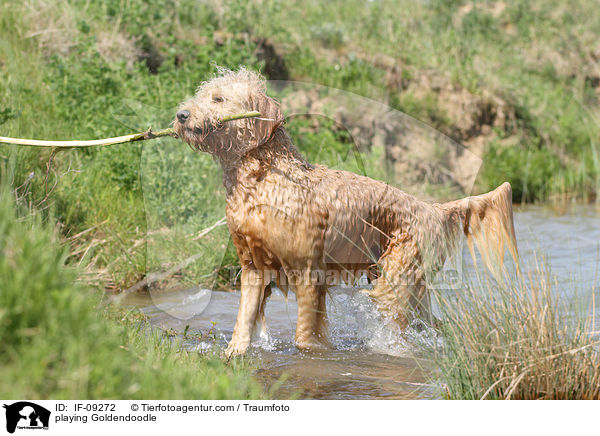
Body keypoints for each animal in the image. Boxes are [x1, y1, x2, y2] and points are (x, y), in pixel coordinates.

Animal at [175, 66, 520, 356]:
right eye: (201, 93)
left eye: (218, 98)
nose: (180, 115)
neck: (263, 177)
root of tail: (432, 207)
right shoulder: (252, 266)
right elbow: (244, 321)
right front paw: (234, 352)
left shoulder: (309, 271)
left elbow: (305, 335)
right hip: (414, 287)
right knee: (431, 324)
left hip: (396, 278)